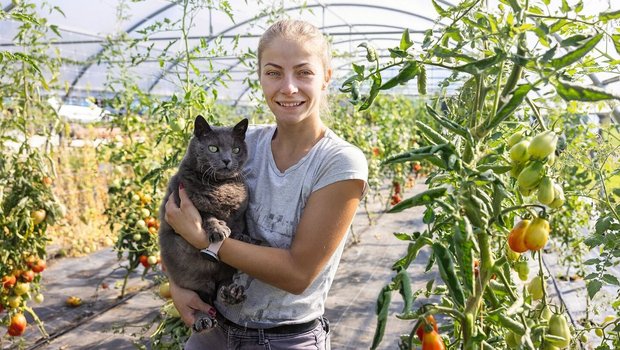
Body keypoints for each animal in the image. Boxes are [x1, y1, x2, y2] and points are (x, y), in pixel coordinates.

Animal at [159, 116, 251, 332]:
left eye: (236, 149)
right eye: (213, 148)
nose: (226, 160)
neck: (221, 184)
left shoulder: (240, 211)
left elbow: (238, 223)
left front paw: (241, 236)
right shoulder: (185, 200)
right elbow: (207, 216)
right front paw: (218, 229)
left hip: (225, 272)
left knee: (223, 286)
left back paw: (232, 293)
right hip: (192, 282)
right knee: (202, 302)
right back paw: (203, 320)